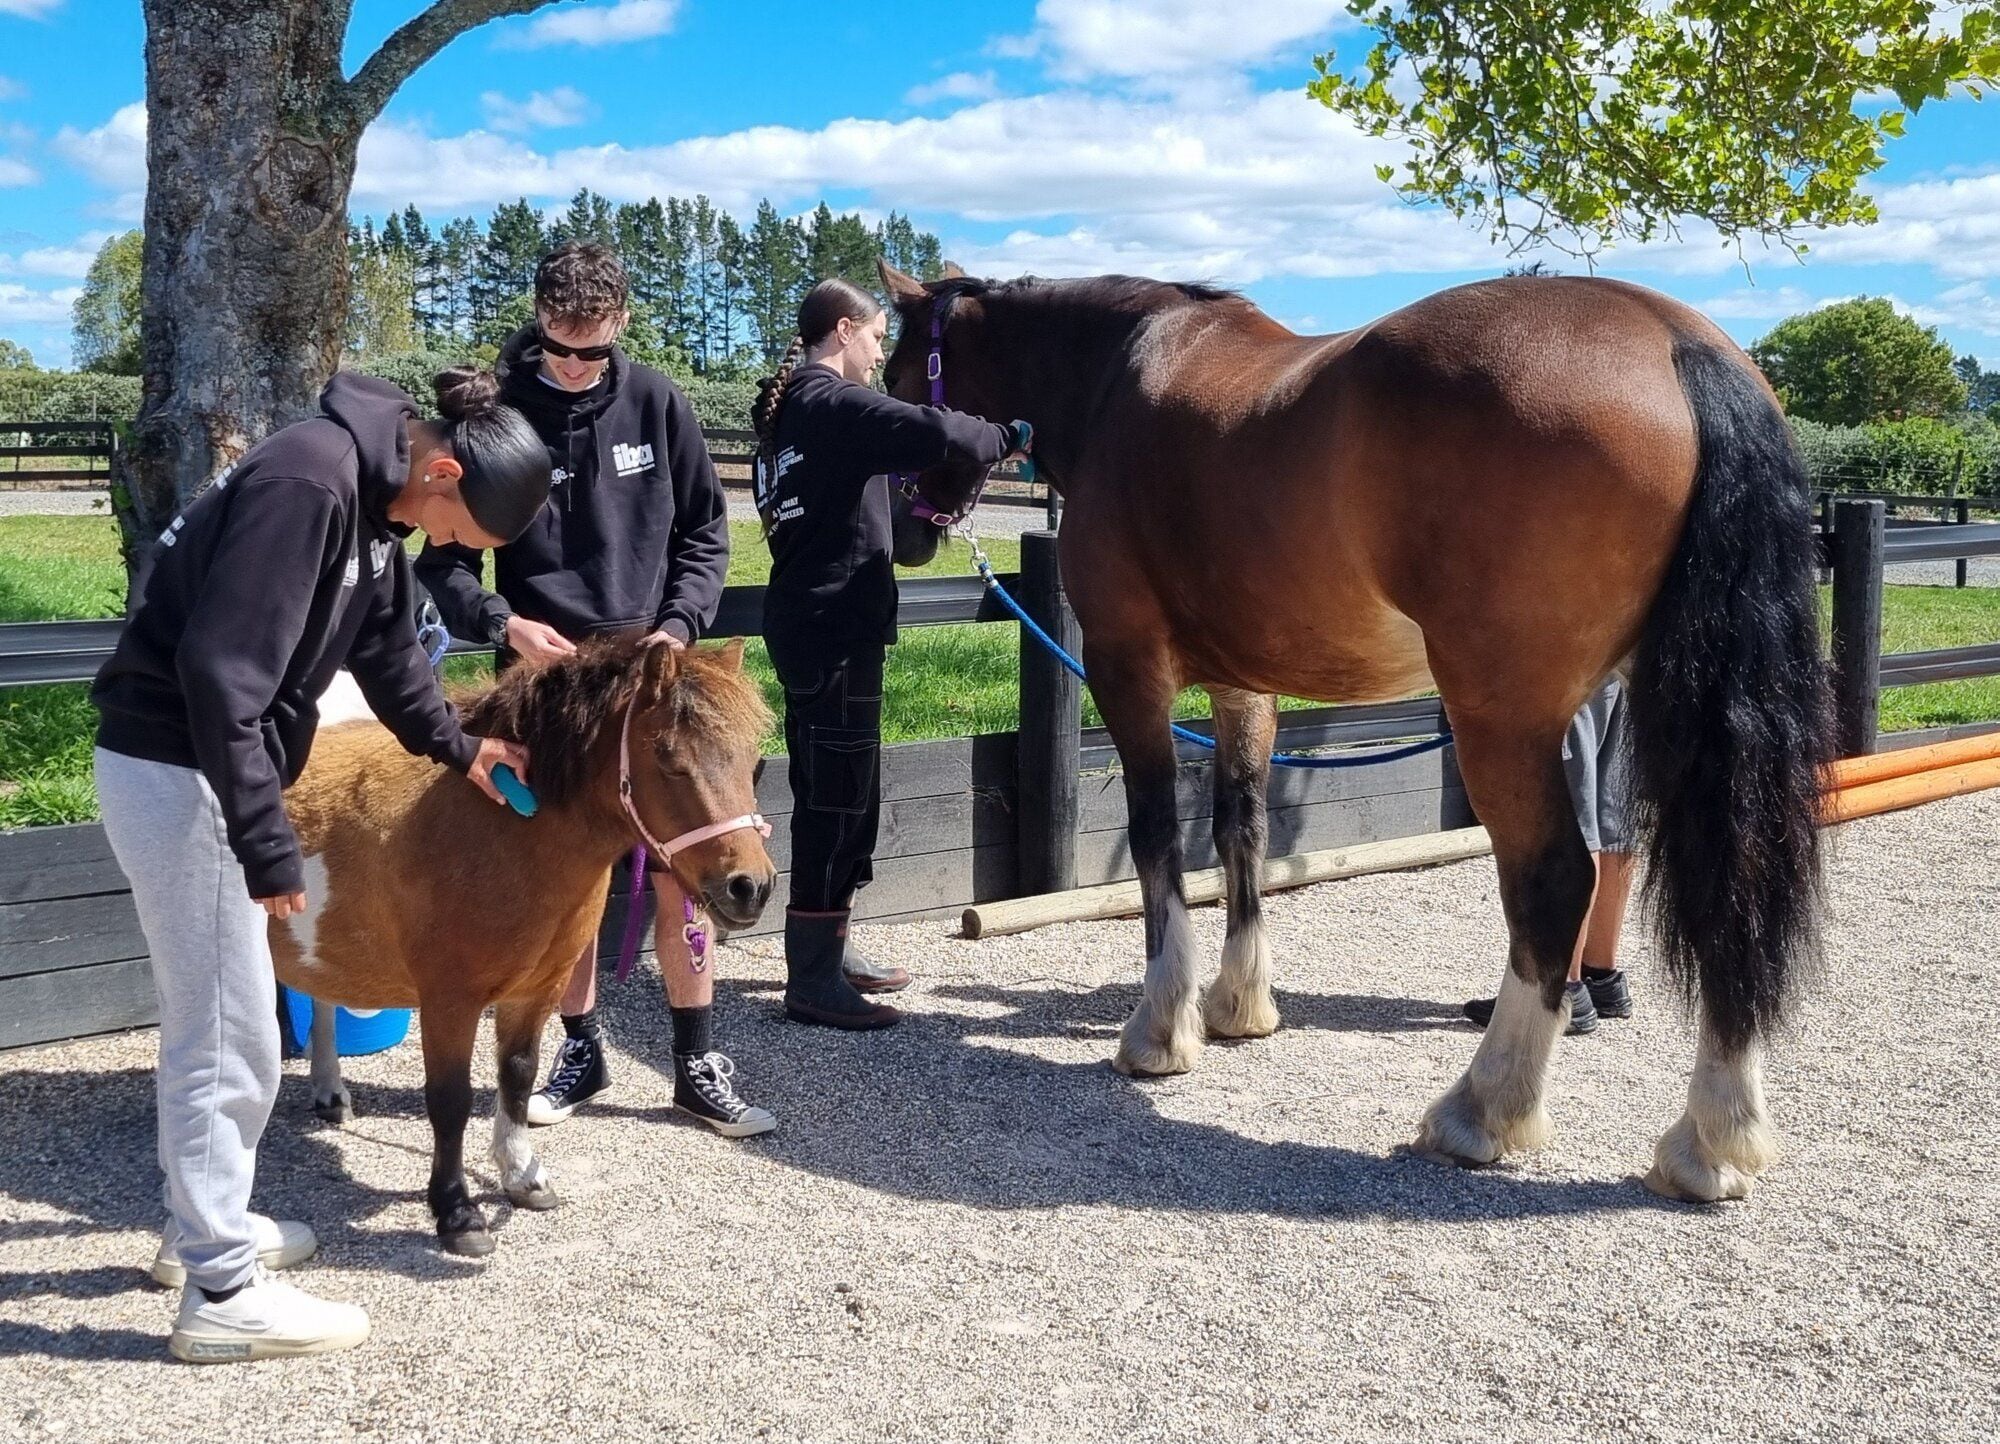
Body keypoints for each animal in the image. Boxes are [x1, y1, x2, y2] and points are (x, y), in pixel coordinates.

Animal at [278, 636, 776, 1256]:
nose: (751, 887)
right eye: (668, 759)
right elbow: (450, 1100)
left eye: (750, 760)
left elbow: (516, 1075)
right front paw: (457, 1211)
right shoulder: (449, 1000)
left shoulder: (537, 989)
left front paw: (521, 1176)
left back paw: (329, 1092)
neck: (499, 824)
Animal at [884, 262, 1832, 1200]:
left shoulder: (1127, 671)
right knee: (1732, 884)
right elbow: (1242, 832)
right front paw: (1240, 1006)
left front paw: (1160, 1030)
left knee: (1557, 883)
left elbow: (1156, 838)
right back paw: (1712, 1141)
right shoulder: (1244, 687)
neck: (1118, 377)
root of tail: (1678, 344)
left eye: (895, 380)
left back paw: (1483, 1111)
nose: (903, 535)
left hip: (1504, 719)